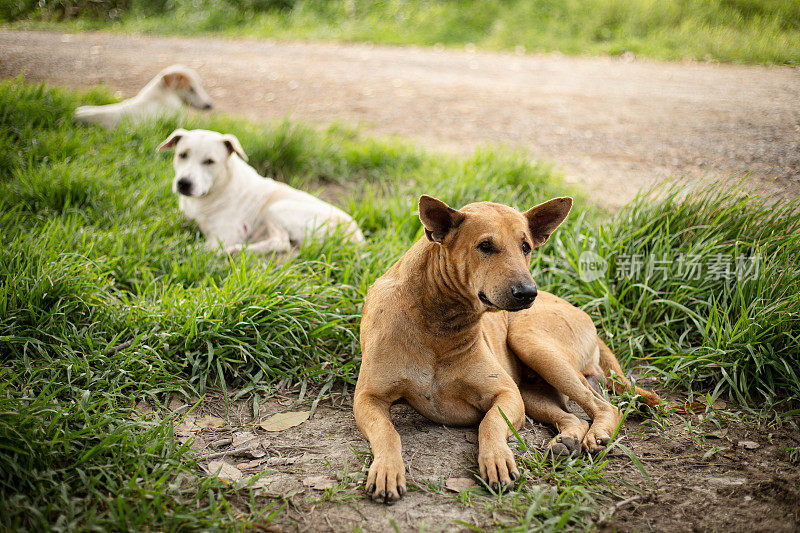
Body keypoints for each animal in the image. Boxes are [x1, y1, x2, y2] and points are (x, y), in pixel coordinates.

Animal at [158, 128, 364, 254]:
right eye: (182, 155)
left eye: (210, 161)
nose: (184, 183)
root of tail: (358, 238)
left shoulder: (223, 237)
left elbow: (196, 248)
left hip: (276, 208)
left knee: (281, 242)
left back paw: (236, 250)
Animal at [354, 193, 660, 500]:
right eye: (485, 246)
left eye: (526, 247)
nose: (527, 293)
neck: (438, 324)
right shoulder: (368, 399)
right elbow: (387, 432)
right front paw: (387, 470)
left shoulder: (506, 394)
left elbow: (490, 423)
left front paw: (496, 460)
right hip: (532, 390)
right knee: (576, 418)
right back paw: (567, 441)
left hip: (533, 345)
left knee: (604, 406)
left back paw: (597, 434)